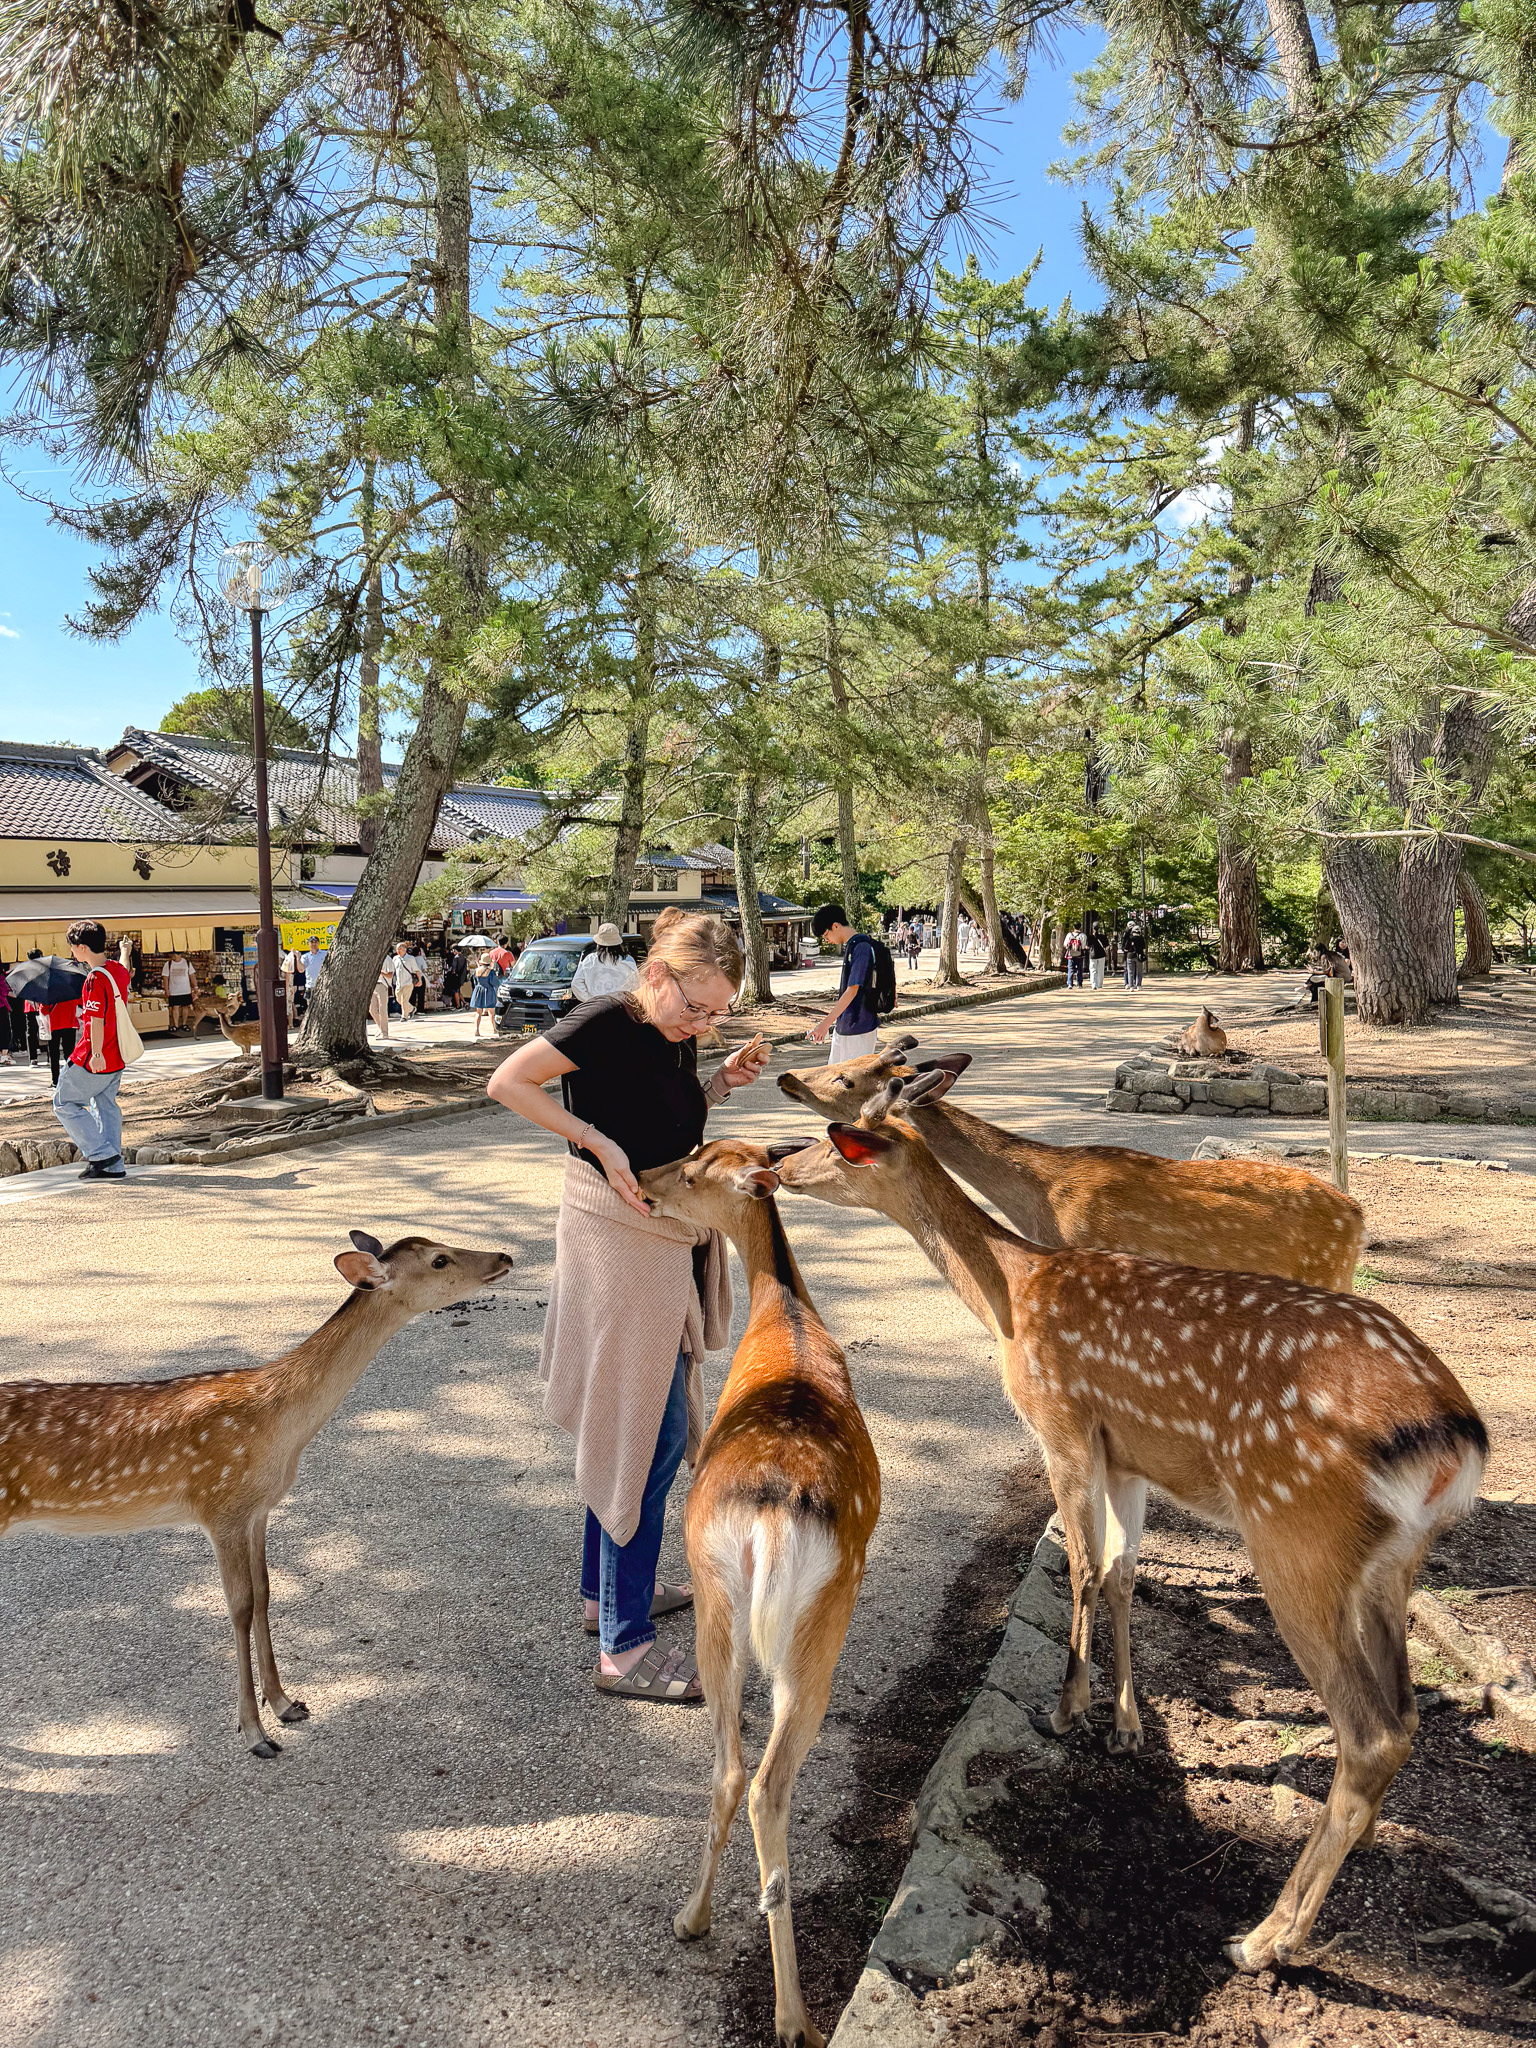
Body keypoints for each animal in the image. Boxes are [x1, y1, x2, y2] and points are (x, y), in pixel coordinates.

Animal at [0, 1231, 512, 1757]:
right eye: (439, 1259)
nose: (505, 1256)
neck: (280, 1430)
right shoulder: (219, 1504)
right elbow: (239, 1606)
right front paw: (253, 1732)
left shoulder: (258, 1509)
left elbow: (265, 1592)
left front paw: (285, 1703)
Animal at [637, 1138, 879, 2048]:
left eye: (693, 1168)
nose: (644, 1180)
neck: (789, 1317)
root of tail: (773, 1515)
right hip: (816, 1624)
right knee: (764, 1776)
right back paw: (792, 2014)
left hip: (724, 1604)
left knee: (737, 1774)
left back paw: (700, 1926)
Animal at [772, 1069, 1487, 1971]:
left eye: (834, 1136)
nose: (773, 1164)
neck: (1013, 1296)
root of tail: (1456, 1441)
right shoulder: (1127, 1457)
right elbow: (1119, 1573)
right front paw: (1124, 1725)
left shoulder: (1062, 1426)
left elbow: (1078, 1564)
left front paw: (1066, 1709)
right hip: (1393, 1562)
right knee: (1407, 1714)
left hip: (1297, 1532)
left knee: (1369, 1732)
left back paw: (1265, 1938)